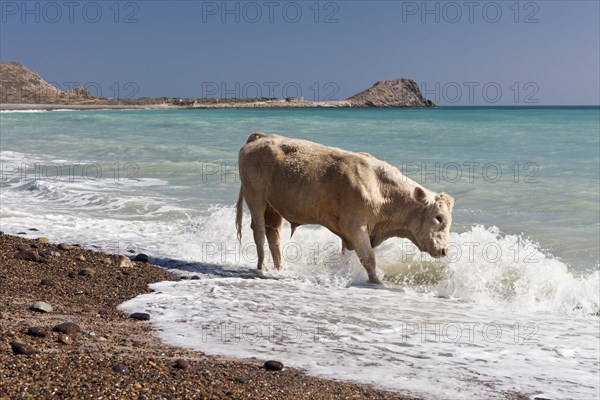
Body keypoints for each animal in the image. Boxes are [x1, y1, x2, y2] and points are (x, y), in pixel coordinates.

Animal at [237, 132, 452, 284]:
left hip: (274, 206)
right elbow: (369, 258)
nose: (444, 250)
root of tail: (262, 137)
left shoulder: (349, 232)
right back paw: (263, 267)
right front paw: (377, 282)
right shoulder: (354, 226)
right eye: (438, 217)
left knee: (273, 232)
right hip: (255, 197)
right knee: (258, 231)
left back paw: (281, 267)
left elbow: (348, 257)